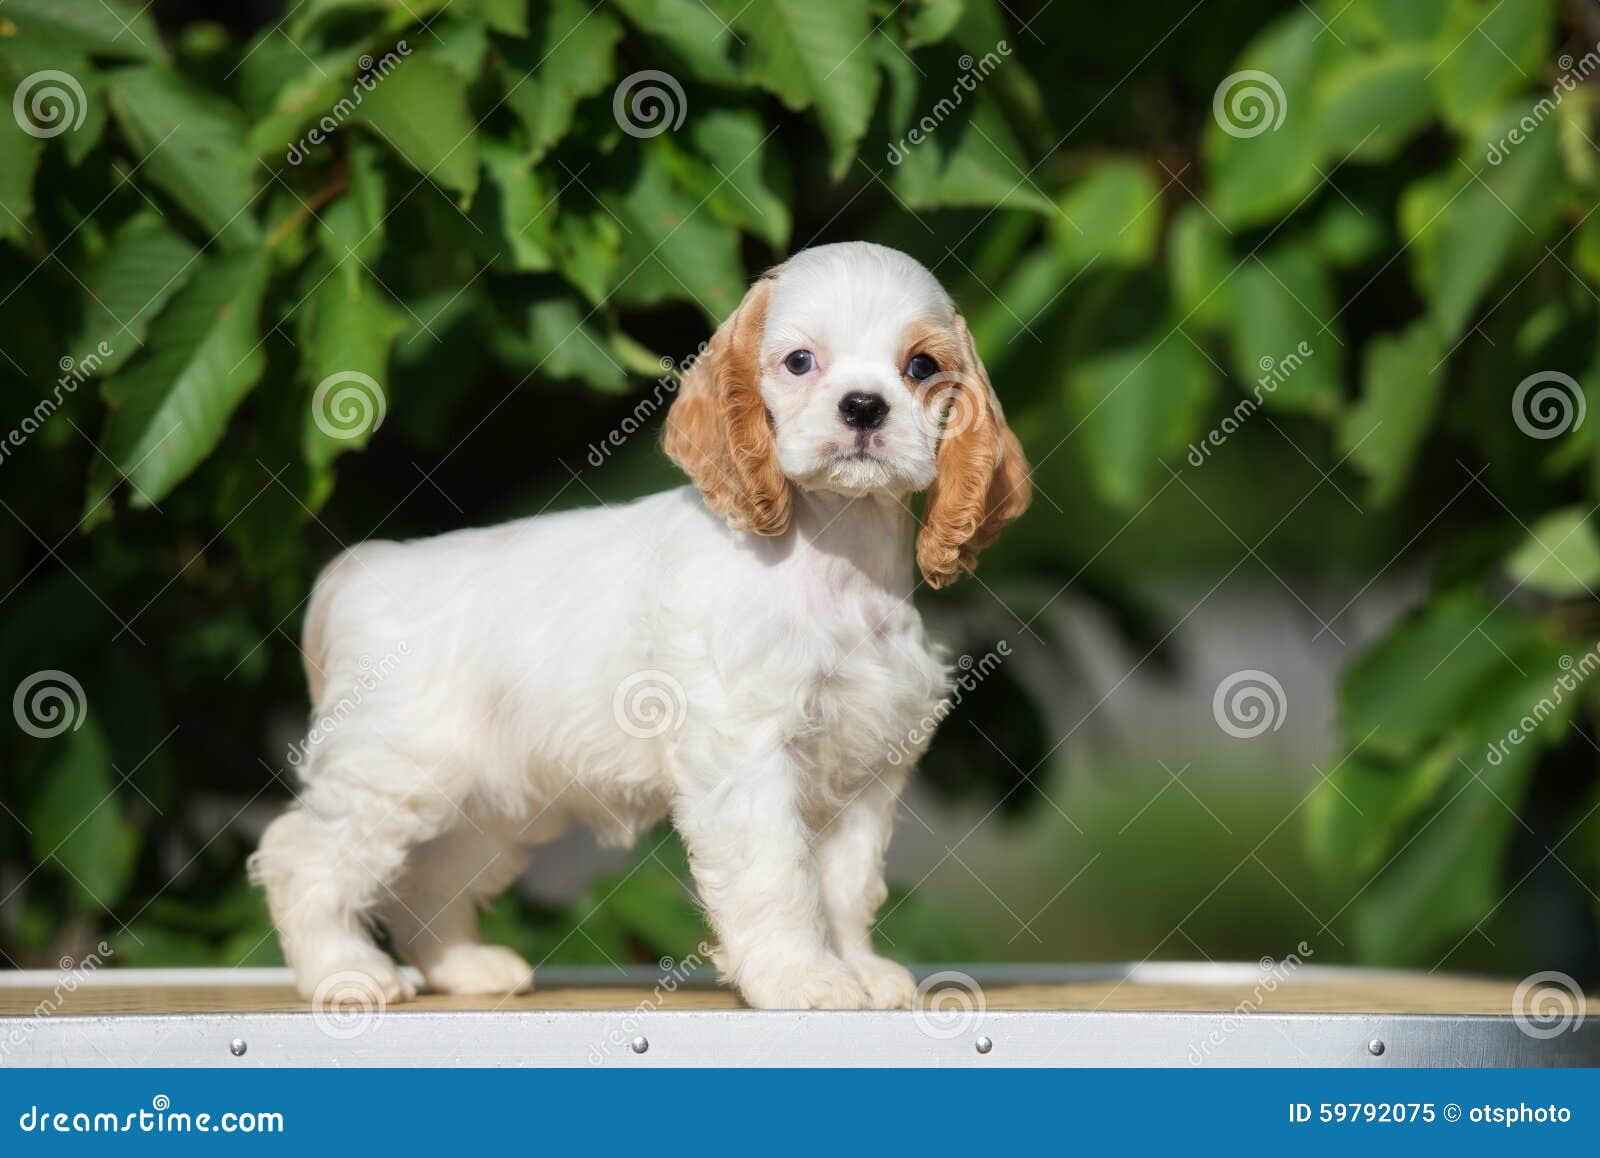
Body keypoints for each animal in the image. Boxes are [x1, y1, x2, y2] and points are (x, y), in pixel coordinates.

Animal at [249, 239, 1024, 1010]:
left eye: (920, 367)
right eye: (801, 362)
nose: (864, 406)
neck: (834, 554)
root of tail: (363, 569)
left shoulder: (867, 766)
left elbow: (845, 885)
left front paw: (858, 969)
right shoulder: (748, 753)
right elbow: (779, 877)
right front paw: (801, 978)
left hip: (485, 801)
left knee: (427, 878)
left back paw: (465, 967)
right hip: (397, 772)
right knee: (301, 857)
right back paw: (345, 973)